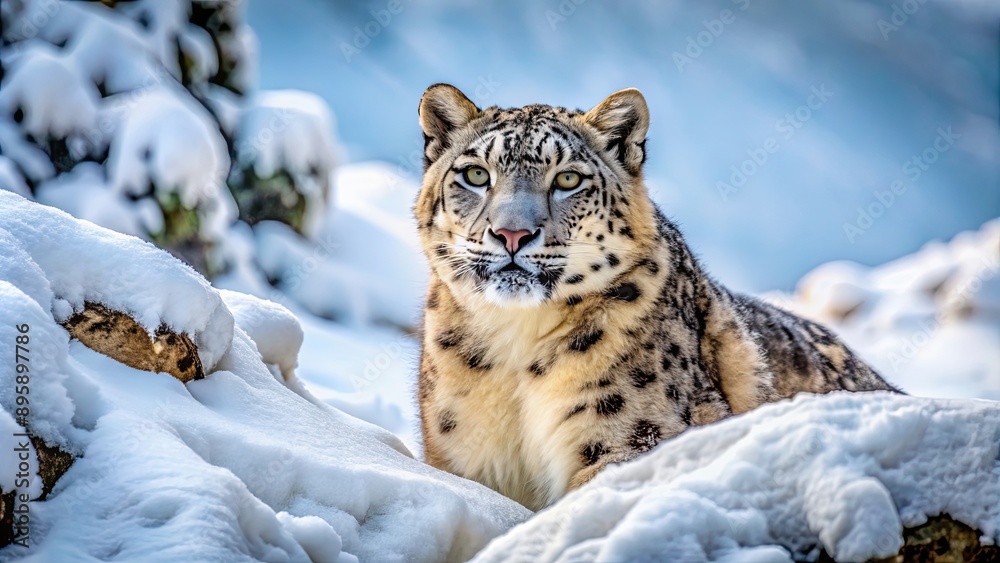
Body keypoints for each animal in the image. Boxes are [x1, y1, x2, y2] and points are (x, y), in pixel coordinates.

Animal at [413, 83, 900, 511]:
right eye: (476, 174)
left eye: (568, 178)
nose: (511, 233)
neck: (514, 351)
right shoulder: (463, 457)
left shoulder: (632, 438)